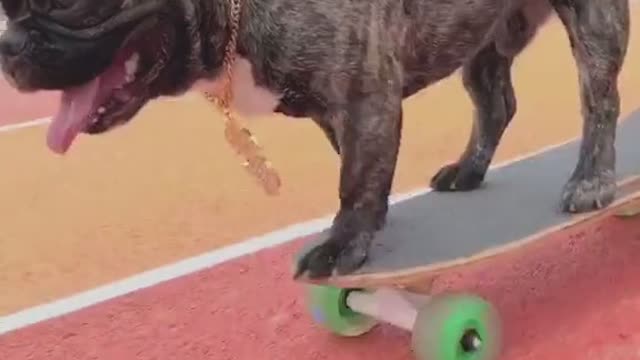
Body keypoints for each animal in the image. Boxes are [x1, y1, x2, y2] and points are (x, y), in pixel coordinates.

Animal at [0, 0, 632, 278]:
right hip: (483, 34)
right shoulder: (345, 107)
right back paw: (469, 169)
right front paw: (369, 224)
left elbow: (355, 173)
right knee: (494, 99)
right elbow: (358, 165)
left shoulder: (361, 87)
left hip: (592, 19)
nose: (7, 45)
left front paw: (342, 243)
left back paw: (590, 180)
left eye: (69, 0)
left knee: (599, 99)